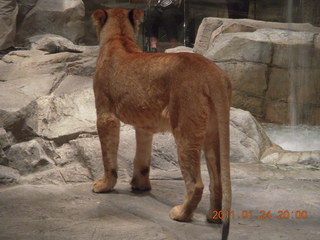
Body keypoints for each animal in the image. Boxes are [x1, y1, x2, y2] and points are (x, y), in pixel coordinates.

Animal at [91, 7, 231, 240]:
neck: (119, 36)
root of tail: (211, 70)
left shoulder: (105, 115)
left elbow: (107, 157)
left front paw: (104, 185)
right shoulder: (144, 125)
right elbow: (142, 158)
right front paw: (140, 186)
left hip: (185, 129)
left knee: (196, 183)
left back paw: (181, 214)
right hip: (214, 132)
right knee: (217, 179)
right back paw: (213, 217)